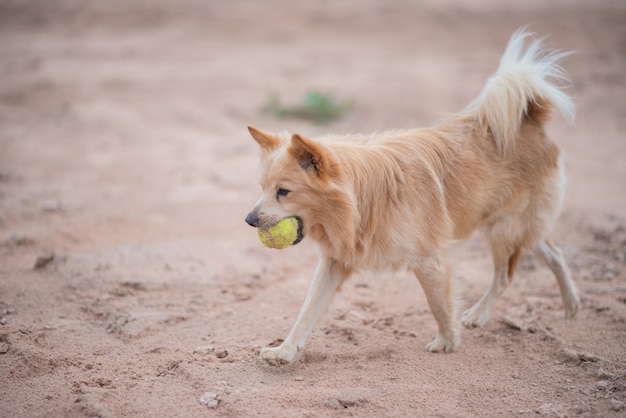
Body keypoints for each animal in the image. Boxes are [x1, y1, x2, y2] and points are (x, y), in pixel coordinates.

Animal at [244, 27, 580, 364]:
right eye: (262, 188)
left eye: (283, 192)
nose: (248, 220)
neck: (361, 199)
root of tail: (531, 118)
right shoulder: (335, 261)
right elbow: (308, 310)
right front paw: (285, 350)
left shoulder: (429, 260)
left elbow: (438, 304)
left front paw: (448, 340)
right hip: (517, 228)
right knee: (554, 253)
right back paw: (571, 306)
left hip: (504, 229)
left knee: (505, 275)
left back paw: (480, 314)